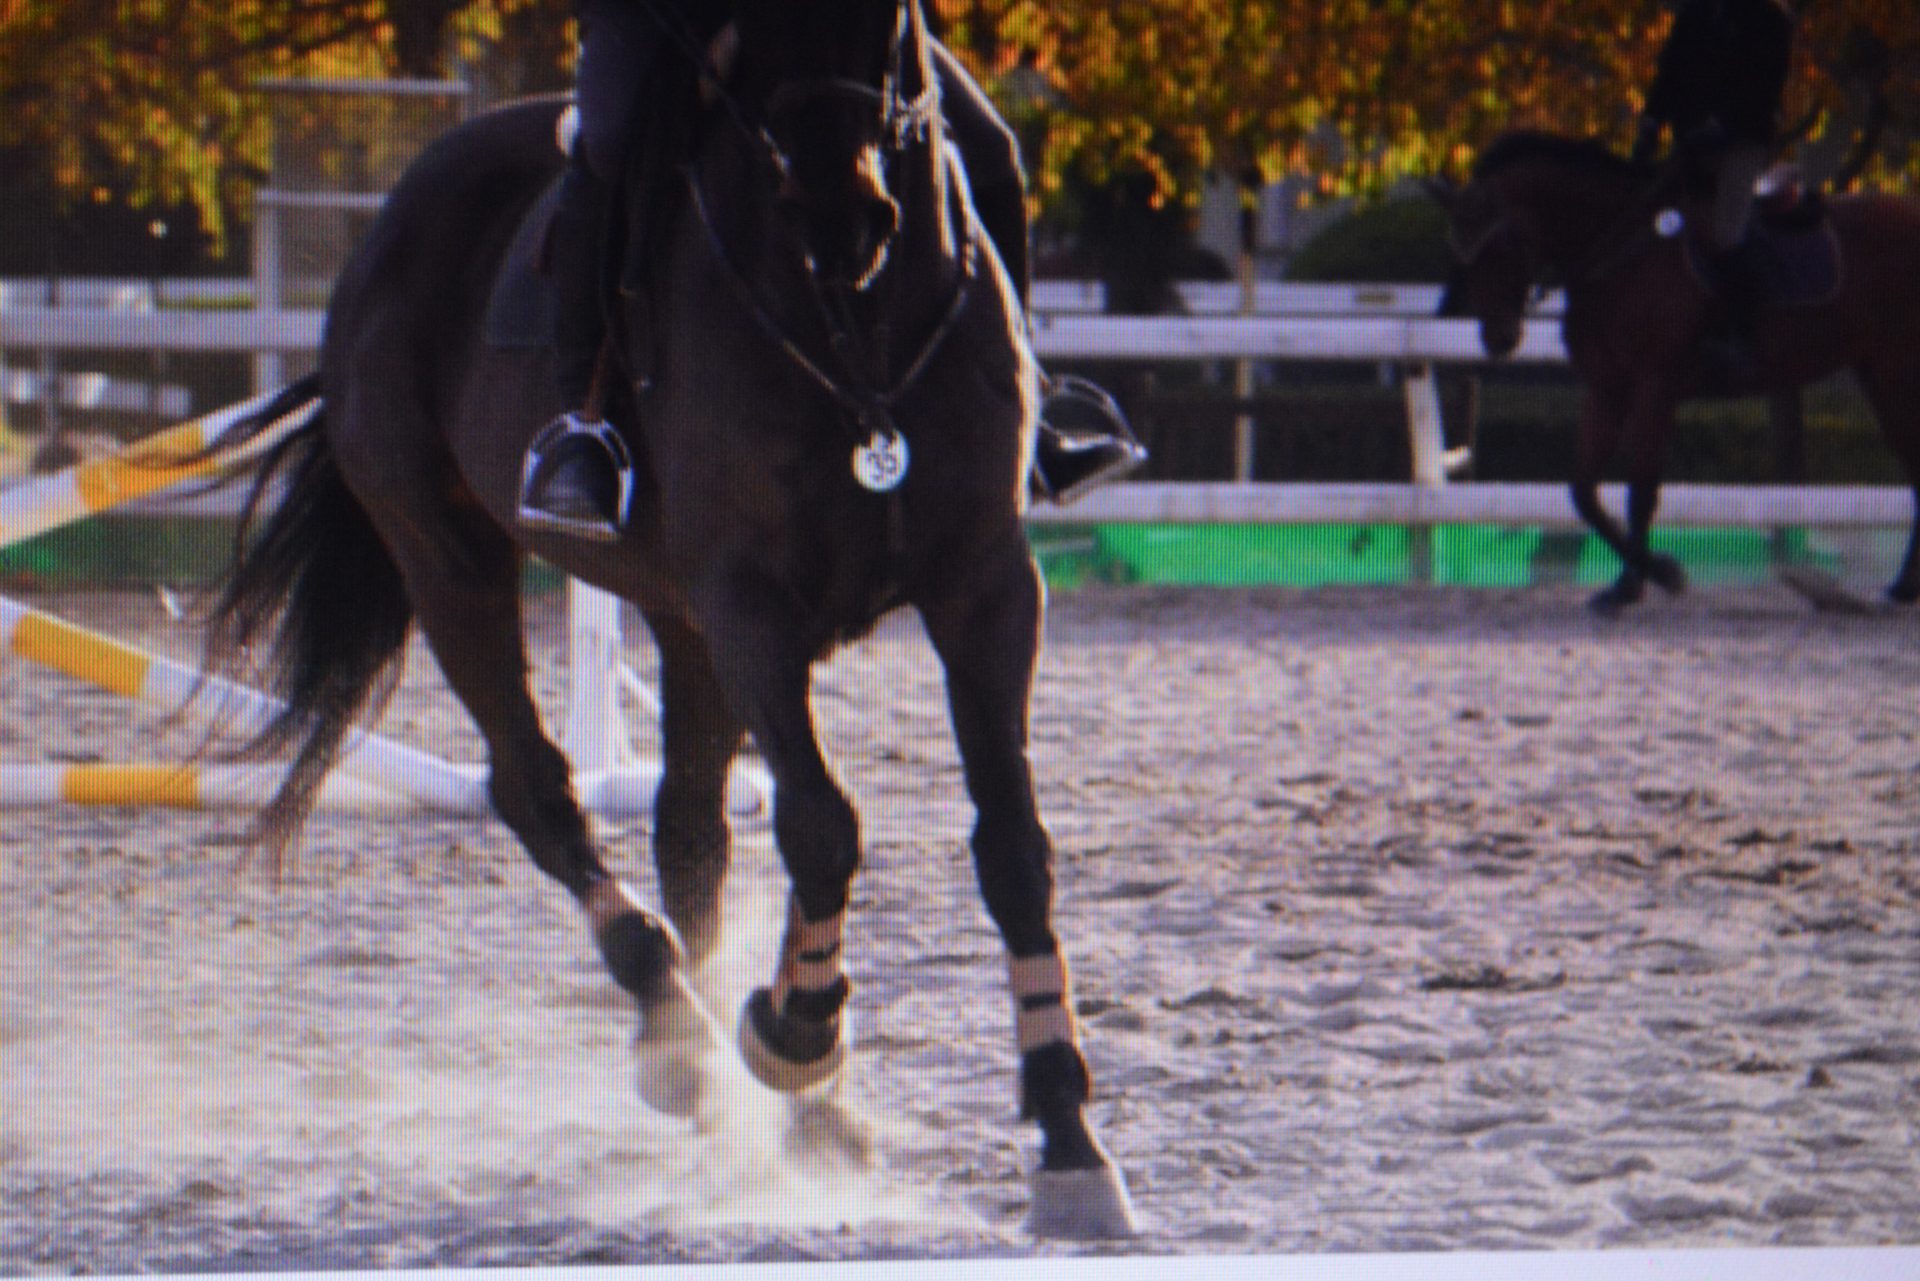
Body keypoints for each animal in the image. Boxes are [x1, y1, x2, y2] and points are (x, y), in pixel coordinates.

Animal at [202, 0, 1128, 1244]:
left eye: (884, 21)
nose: (842, 220)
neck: (857, 330)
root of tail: (389, 226)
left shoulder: (985, 586)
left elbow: (1013, 846)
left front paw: (1068, 1139)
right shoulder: (750, 606)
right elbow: (824, 826)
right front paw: (796, 1032)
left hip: (679, 624)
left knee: (688, 826)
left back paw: (792, 1109)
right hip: (453, 565)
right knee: (539, 793)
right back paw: (682, 1039)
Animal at [1428, 132, 1920, 614]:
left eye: (1498, 247)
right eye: (1457, 251)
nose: (1498, 339)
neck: (1618, 248)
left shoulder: (1654, 389)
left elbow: (1641, 491)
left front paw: (1652, 578)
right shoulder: (1606, 389)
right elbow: (1584, 491)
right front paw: (1637, 580)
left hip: (1897, 373)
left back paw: (1899, 589)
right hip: (1880, 374)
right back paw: (1901, 589)